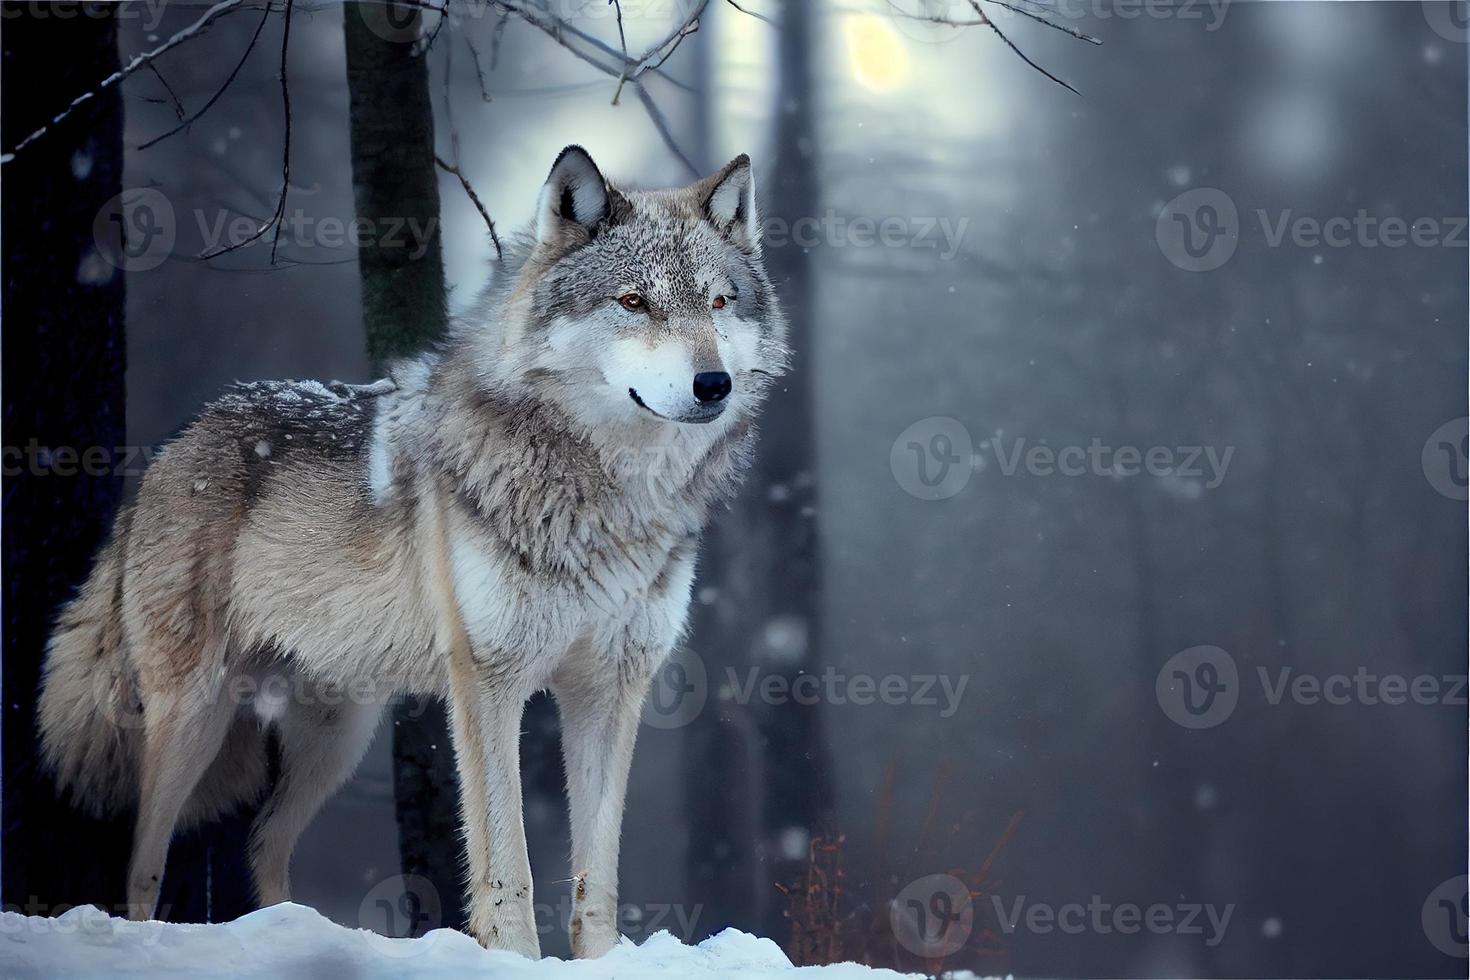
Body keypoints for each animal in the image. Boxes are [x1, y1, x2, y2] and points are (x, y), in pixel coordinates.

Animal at [34, 145, 787, 957]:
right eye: (634, 302)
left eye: (718, 304)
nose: (713, 384)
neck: (609, 499)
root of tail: (171, 447)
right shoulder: (488, 681)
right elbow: (508, 865)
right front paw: (513, 959)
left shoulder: (612, 689)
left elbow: (599, 880)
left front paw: (600, 963)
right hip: (194, 715)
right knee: (143, 859)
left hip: (337, 734)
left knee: (262, 840)